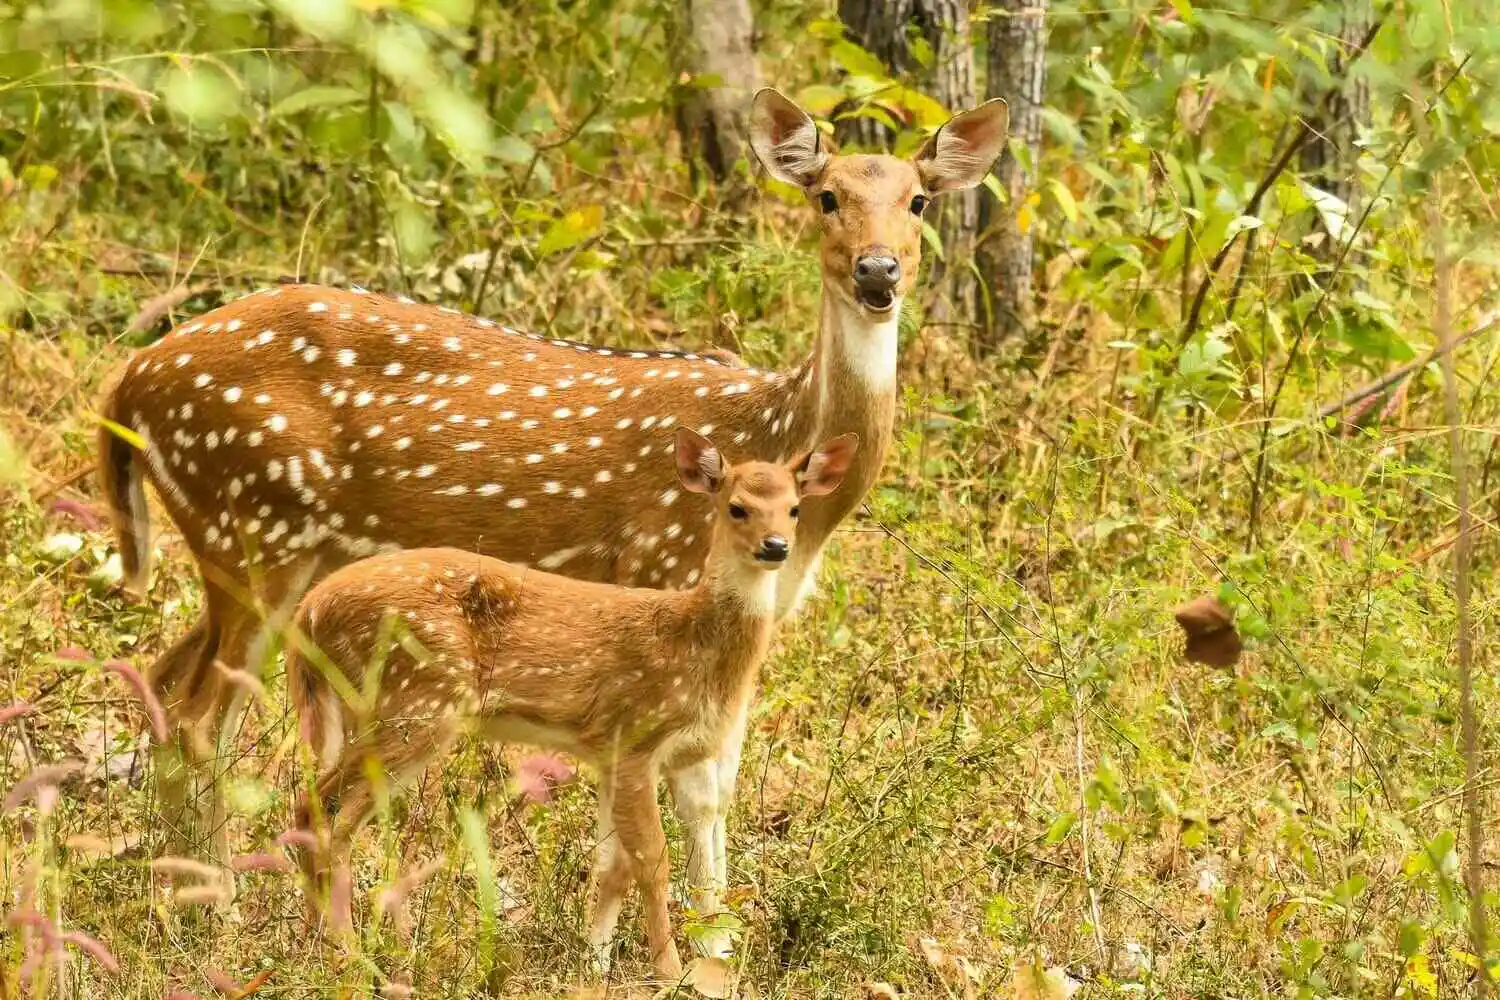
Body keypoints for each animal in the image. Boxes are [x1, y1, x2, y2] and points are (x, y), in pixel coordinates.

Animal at [285, 429, 857, 978]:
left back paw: (316, 942)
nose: (776, 546)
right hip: (417, 701)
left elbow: (612, 868)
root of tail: (310, 611)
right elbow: (652, 861)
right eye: (737, 507)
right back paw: (346, 951)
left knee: (310, 804)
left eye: (794, 508)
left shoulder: (628, 753)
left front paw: (595, 965)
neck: (698, 650)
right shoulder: (634, 736)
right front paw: (670, 971)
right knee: (333, 816)